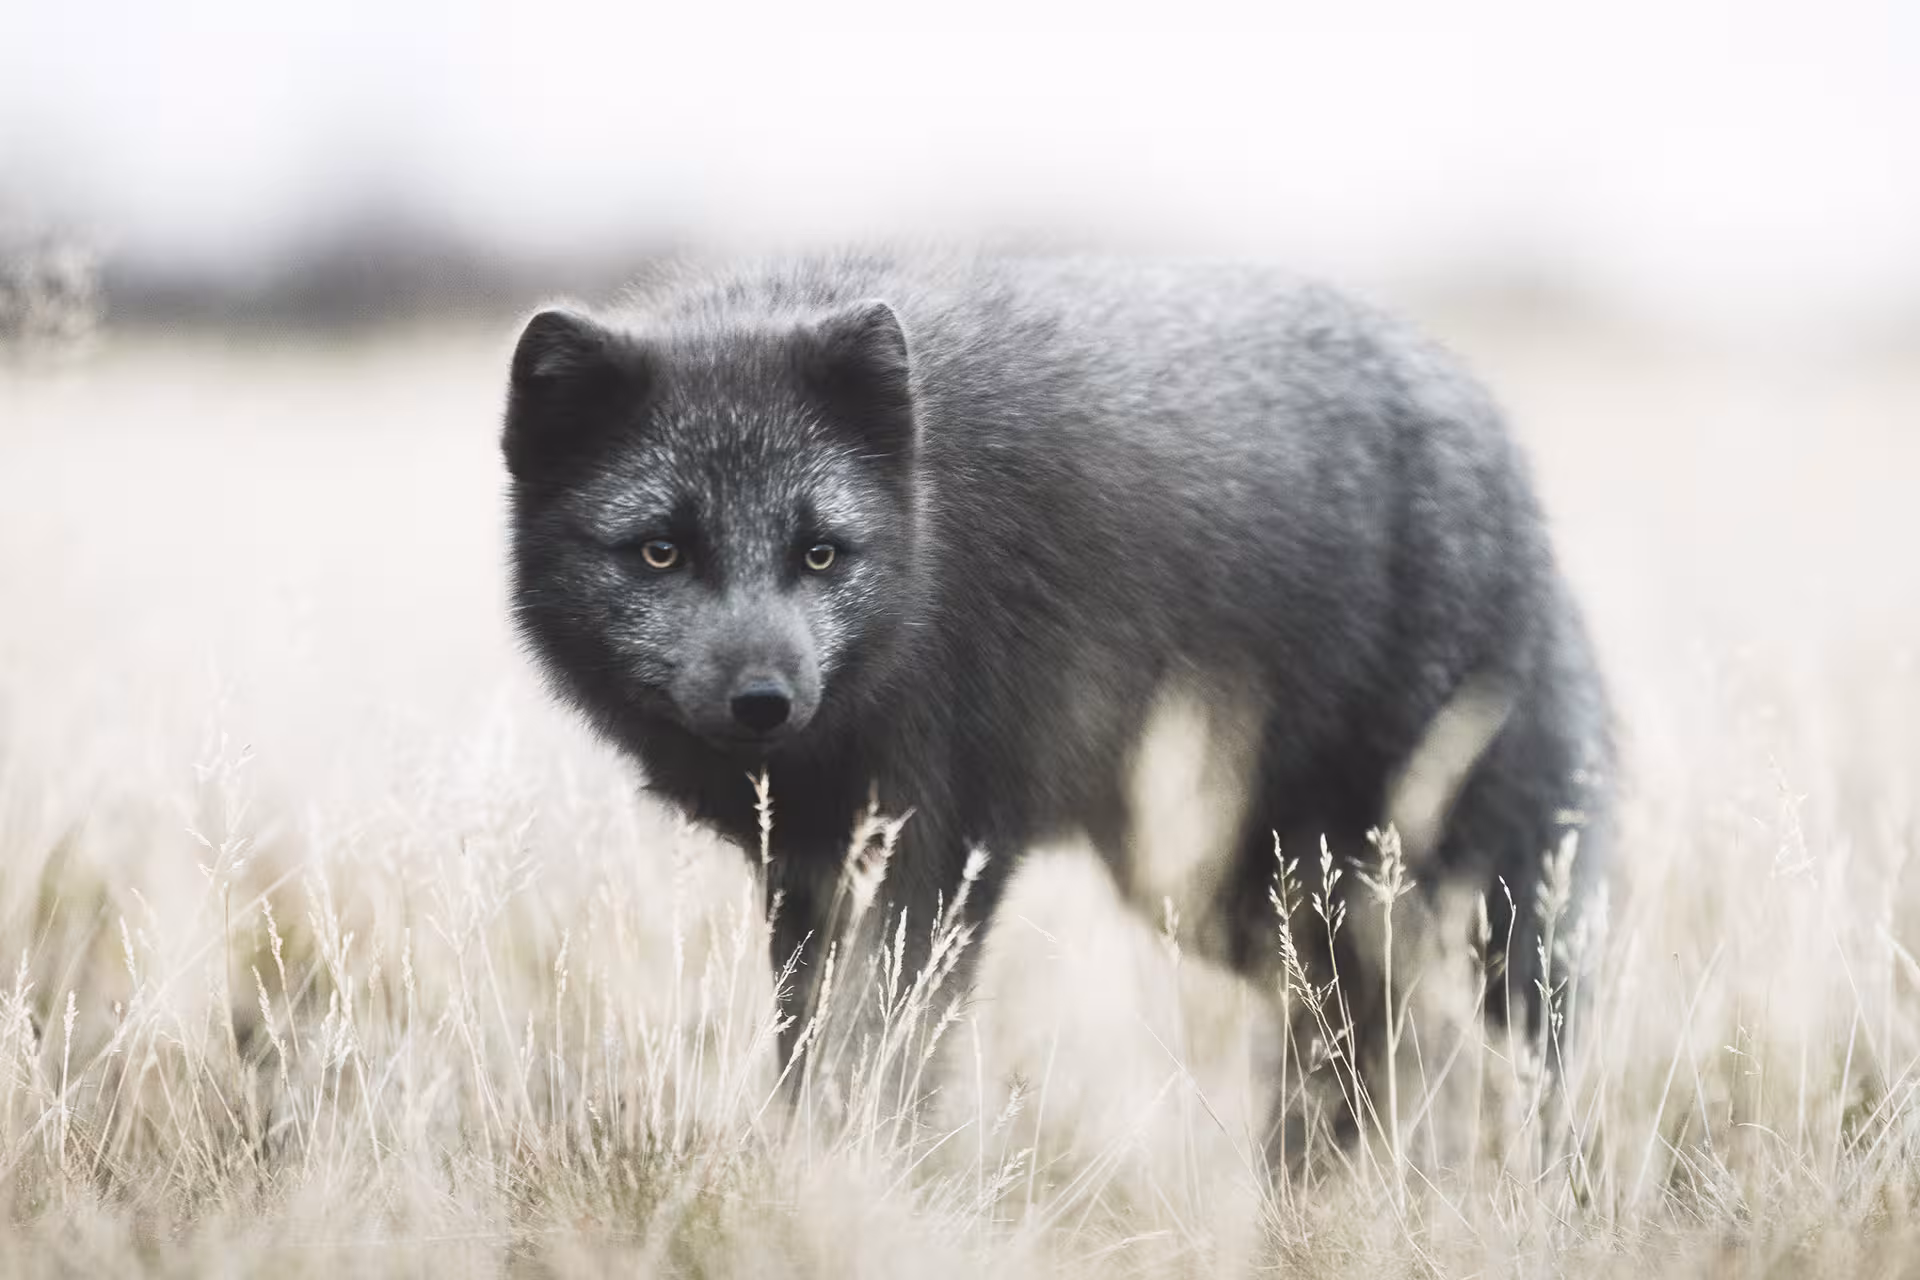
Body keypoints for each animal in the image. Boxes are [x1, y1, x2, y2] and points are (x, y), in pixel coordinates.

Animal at [500, 249, 1611, 1140]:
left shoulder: (941, 853)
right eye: (661, 550)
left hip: (1435, 888)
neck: (929, 538)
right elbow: (807, 1052)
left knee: (1510, 1035)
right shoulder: (806, 872)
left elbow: (880, 1056)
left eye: (819, 552)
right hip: (1245, 896)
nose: (764, 701)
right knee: (1355, 1037)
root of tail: (1487, 424)